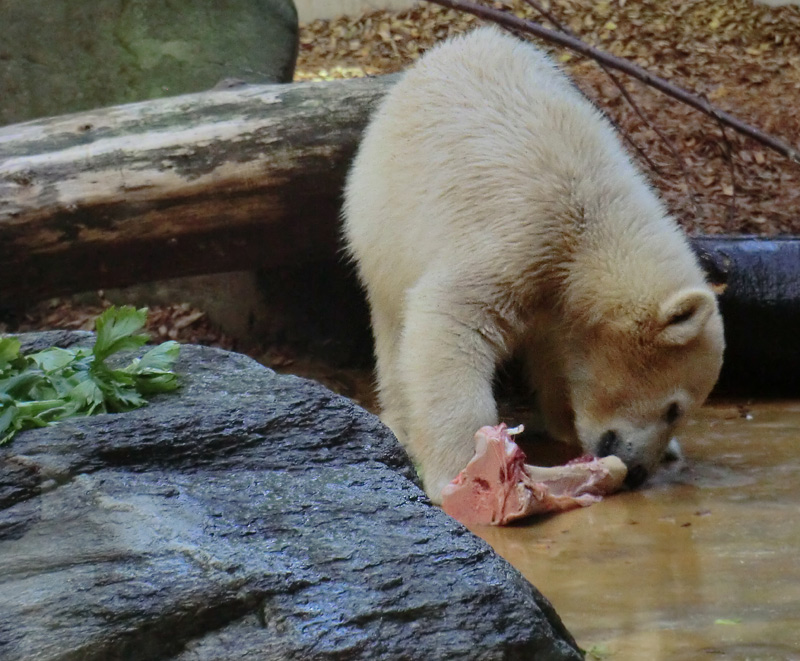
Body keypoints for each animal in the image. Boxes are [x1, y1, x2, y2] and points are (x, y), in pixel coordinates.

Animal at [342, 27, 724, 500]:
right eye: (674, 408)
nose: (636, 472)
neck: (592, 225)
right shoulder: (520, 237)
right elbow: (450, 318)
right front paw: (462, 473)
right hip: (384, 220)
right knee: (394, 327)